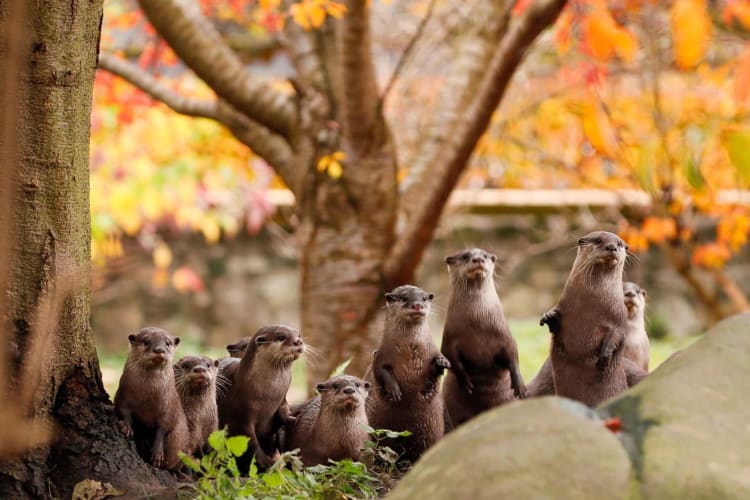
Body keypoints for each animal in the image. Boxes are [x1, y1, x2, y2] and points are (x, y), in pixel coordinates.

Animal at [115, 326, 191, 470]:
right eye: (146, 341)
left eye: (168, 343)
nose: (159, 349)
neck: (147, 398)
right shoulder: (123, 393)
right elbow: (122, 409)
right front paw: (127, 426)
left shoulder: (169, 405)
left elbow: (164, 426)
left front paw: (157, 452)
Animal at [216, 324, 304, 468]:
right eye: (281, 337)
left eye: (299, 335)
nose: (298, 341)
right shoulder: (240, 417)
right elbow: (250, 443)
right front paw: (268, 463)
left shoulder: (281, 399)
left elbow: (283, 410)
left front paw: (292, 418)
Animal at [366, 288, 450, 462]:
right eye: (404, 298)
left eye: (424, 298)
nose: (418, 305)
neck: (410, 348)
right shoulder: (381, 356)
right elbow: (381, 371)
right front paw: (394, 391)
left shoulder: (431, 351)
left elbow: (436, 369)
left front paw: (441, 362)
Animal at [444, 247, 524, 426]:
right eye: (465, 256)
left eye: (485, 255)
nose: (478, 259)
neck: (478, 321)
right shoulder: (449, 339)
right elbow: (451, 358)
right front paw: (465, 381)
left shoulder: (505, 337)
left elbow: (513, 355)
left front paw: (520, 385)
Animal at [540, 230, 636, 406]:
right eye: (598, 240)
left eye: (619, 243)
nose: (611, 247)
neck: (590, 304)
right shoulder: (564, 306)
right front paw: (549, 316)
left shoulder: (619, 318)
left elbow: (617, 335)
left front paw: (604, 356)